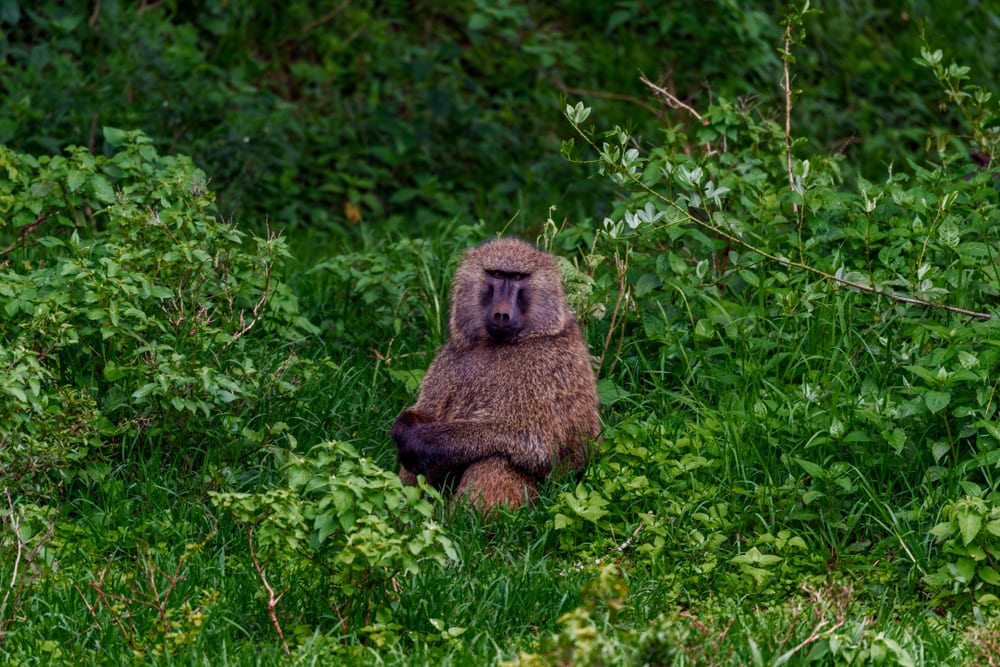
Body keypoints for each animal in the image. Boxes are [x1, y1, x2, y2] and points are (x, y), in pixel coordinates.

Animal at [391, 238, 601, 511]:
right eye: (497, 274)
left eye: (518, 277)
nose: (502, 314)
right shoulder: (451, 358)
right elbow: (426, 413)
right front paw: (403, 428)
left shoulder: (545, 366)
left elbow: (536, 443)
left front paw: (423, 441)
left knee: (496, 458)